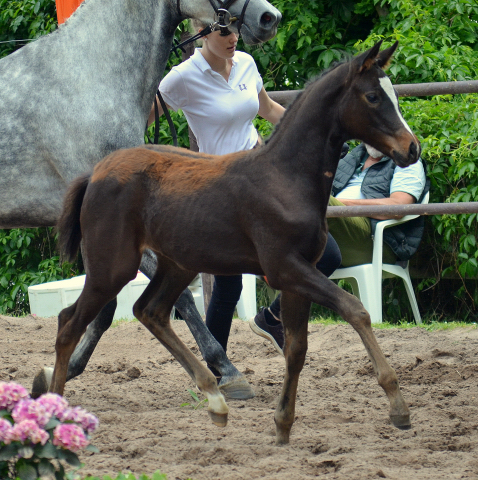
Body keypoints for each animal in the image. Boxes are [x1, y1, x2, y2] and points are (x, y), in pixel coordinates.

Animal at [0, 0, 280, 400]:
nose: (270, 18)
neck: (86, 79)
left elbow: (105, 311)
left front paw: (58, 372)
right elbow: (178, 300)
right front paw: (226, 369)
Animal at [51, 41, 418, 442]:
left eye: (394, 95)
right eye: (372, 97)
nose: (411, 148)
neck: (284, 178)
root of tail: (94, 173)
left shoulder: (299, 273)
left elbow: (297, 349)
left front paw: (283, 424)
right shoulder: (285, 268)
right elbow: (356, 310)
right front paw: (398, 406)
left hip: (178, 264)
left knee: (150, 311)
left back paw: (216, 400)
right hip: (112, 266)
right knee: (69, 323)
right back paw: (53, 409)